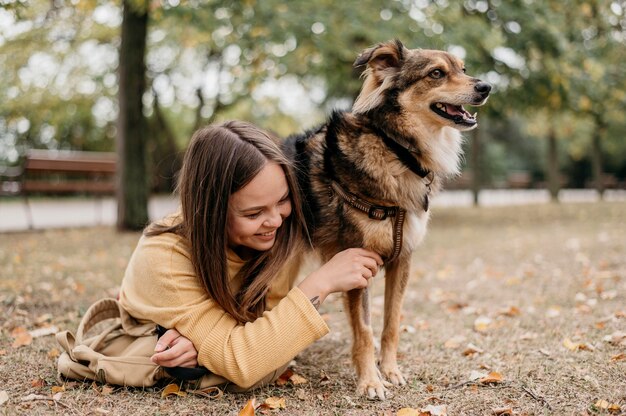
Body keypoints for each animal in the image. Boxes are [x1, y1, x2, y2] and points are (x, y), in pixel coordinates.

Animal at [280, 39, 490, 400]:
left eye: (463, 69)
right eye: (436, 73)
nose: (486, 87)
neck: (397, 150)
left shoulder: (402, 258)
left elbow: (391, 322)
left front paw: (390, 371)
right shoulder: (356, 264)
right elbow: (364, 329)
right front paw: (370, 382)